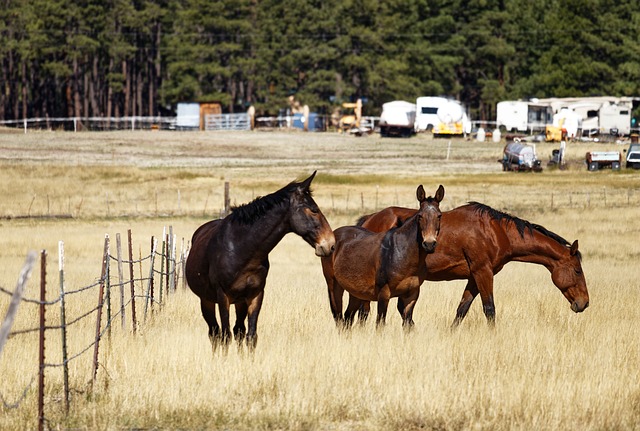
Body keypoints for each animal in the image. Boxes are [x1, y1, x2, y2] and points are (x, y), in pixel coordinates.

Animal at [185, 172, 336, 352]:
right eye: (314, 210)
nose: (330, 244)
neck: (242, 249)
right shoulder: (223, 297)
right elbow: (226, 336)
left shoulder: (255, 295)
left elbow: (251, 336)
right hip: (206, 300)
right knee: (215, 333)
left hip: (239, 302)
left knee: (238, 330)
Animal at [322, 184, 442, 330]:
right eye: (420, 216)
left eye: (439, 216)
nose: (429, 244)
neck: (402, 253)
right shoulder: (384, 294)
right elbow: (380, 323)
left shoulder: (412, 294)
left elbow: (407, 323)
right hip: (334, 285)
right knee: (338, 317)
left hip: (355, 292)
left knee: (348, 317)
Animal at [356, 202, 592, 328]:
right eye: (577, 270)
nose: (584, 303)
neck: (496, 231)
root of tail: (370, 219)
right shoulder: (483, 272)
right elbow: (490, 309)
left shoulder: (474, 277)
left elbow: (462, 309)